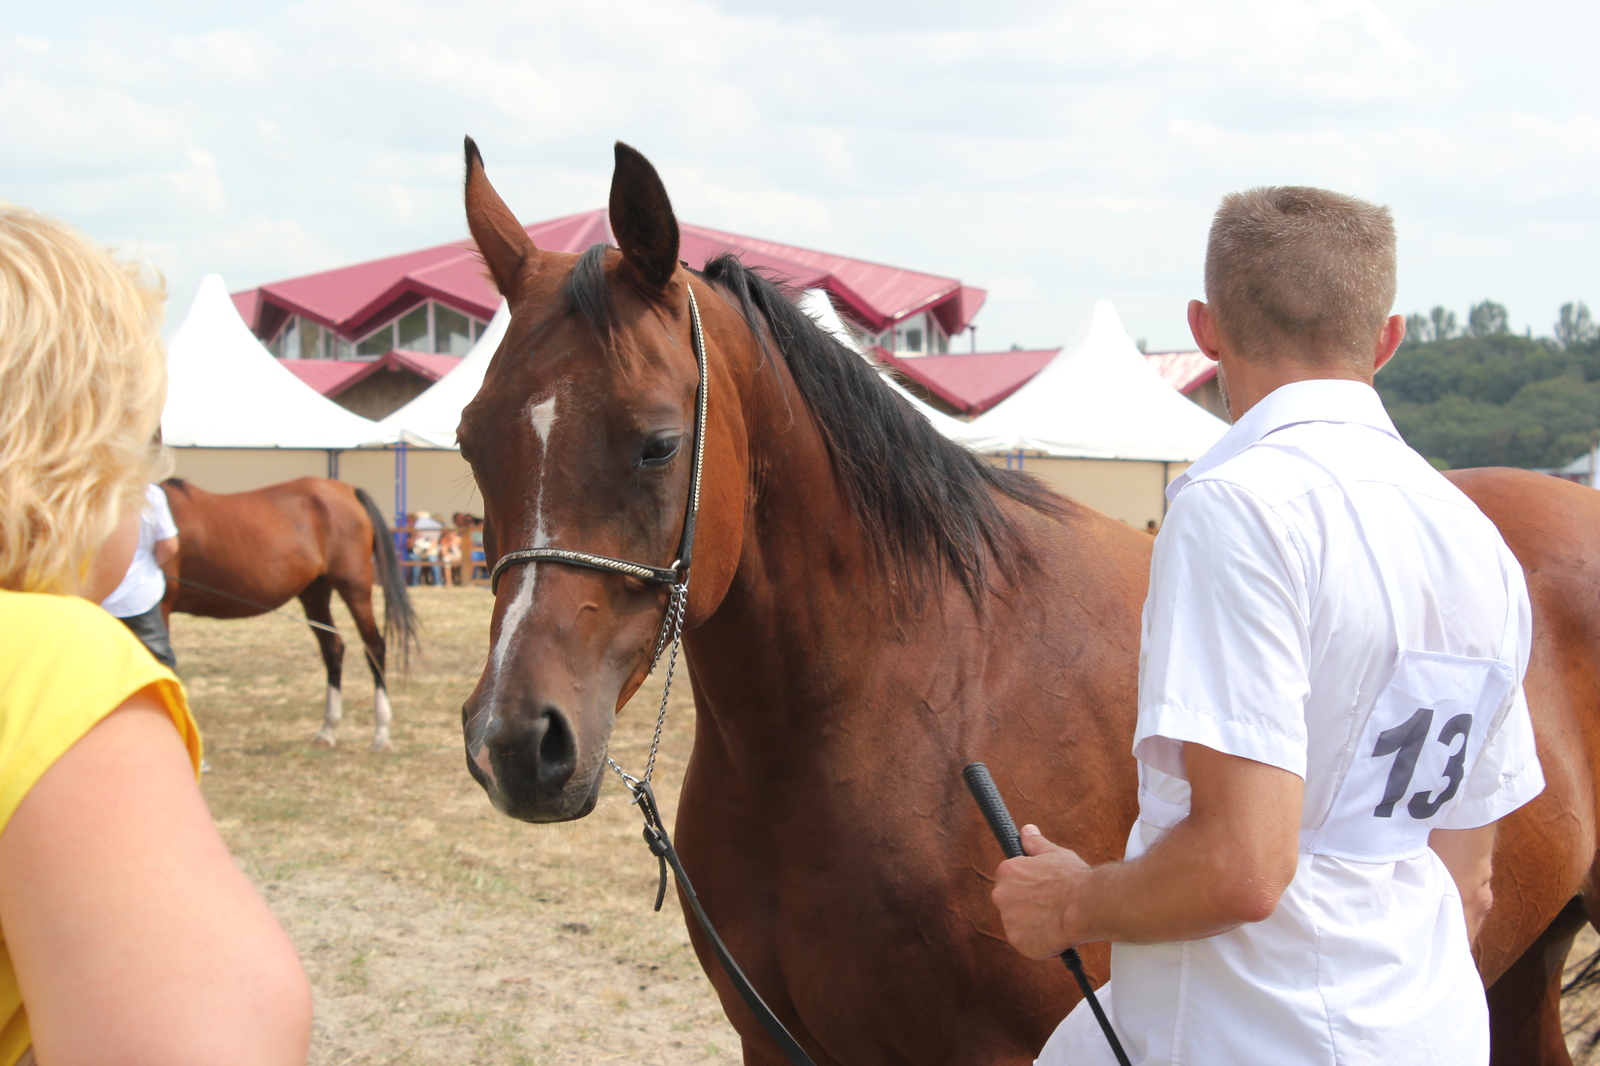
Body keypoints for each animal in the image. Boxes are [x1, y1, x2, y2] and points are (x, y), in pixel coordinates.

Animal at [163, 473, 419, 745]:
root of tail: (350, 491)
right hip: (314, 594)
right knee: (333, 649)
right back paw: (328, 730)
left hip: (355, 589)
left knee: (374, 647)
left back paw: (381, 732)